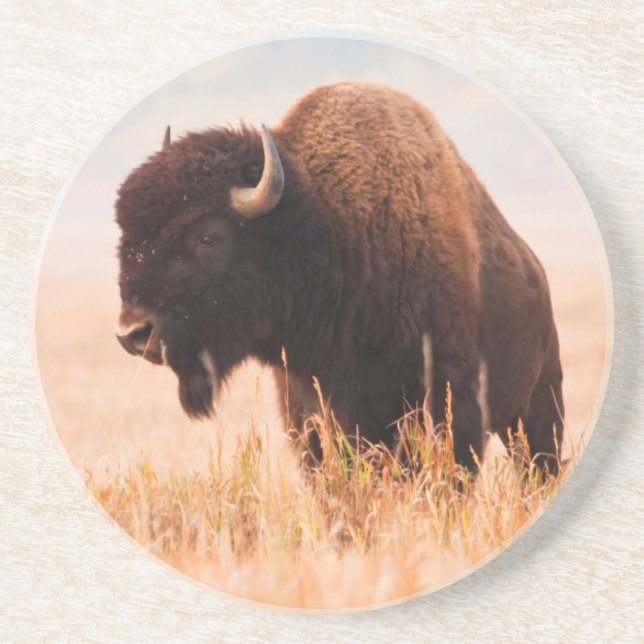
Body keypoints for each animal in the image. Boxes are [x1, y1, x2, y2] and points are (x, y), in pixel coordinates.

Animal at [115, 81, 564, 473]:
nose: (133, 332)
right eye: (127, 234)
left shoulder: (449, 404)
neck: (332, 230)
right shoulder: (310, 413)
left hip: (538, 409)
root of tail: (536, 271)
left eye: (209, 236)